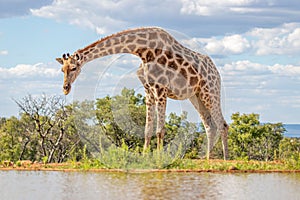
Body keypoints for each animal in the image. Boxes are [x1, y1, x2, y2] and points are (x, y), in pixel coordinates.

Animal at [55, 27, 227, 160]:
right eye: (62, 69)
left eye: (74, 68)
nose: (65, 88)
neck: (143, 51)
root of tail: (217, 72)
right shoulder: (148, 90)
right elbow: (147, 129)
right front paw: (145, 155)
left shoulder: (160, 89)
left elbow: (160, 130)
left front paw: (159, 158)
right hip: (195, 96)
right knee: (210, 126)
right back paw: (207, 158)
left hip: (210, 91)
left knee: (223, 124)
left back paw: (226, 159)